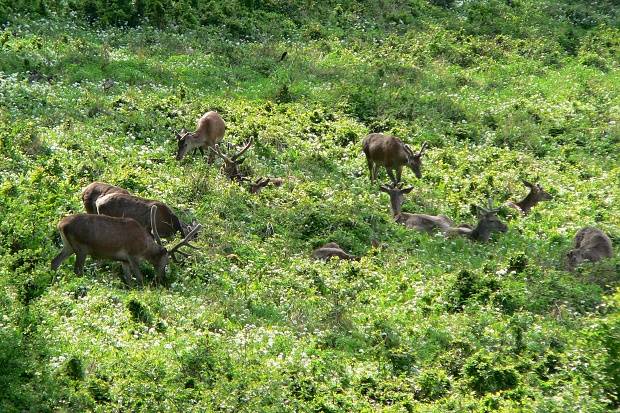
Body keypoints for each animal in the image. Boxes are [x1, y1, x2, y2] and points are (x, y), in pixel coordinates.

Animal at [51, 204, 201, 284]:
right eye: (166, 262)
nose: (162, 279)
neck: (145, 248)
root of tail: (61, 224)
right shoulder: (132, 255)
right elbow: (139, 278)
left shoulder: (124, 260)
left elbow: (129, 280)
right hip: (81, 247)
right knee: (77, 270)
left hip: (68, 246)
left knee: (55, 261)